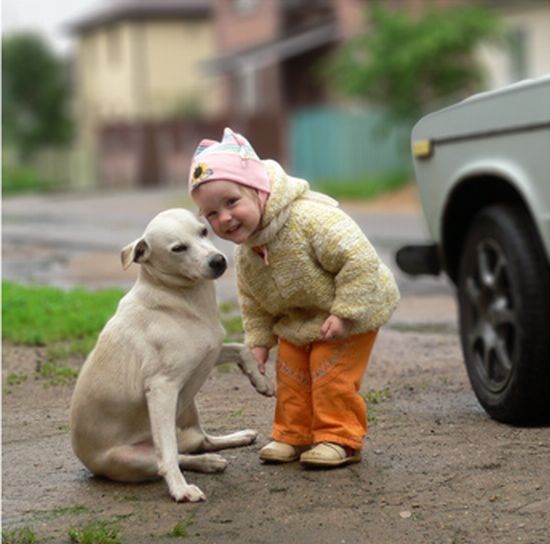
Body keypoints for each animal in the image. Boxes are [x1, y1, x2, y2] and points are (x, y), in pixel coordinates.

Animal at [70, 208, 274, 502]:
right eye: (178, 248)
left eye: (204, 231)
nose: (218, 261)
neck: (179, 297)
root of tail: (86, 459)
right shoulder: (161, 389)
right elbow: (167, 457)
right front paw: (180, 489)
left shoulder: (210, 352)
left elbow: (241, 348)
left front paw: (261, 381)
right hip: (136, 455)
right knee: (168, 458)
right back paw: (198, 470)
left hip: (188, 408)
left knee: (197, 444)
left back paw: (227, 446)